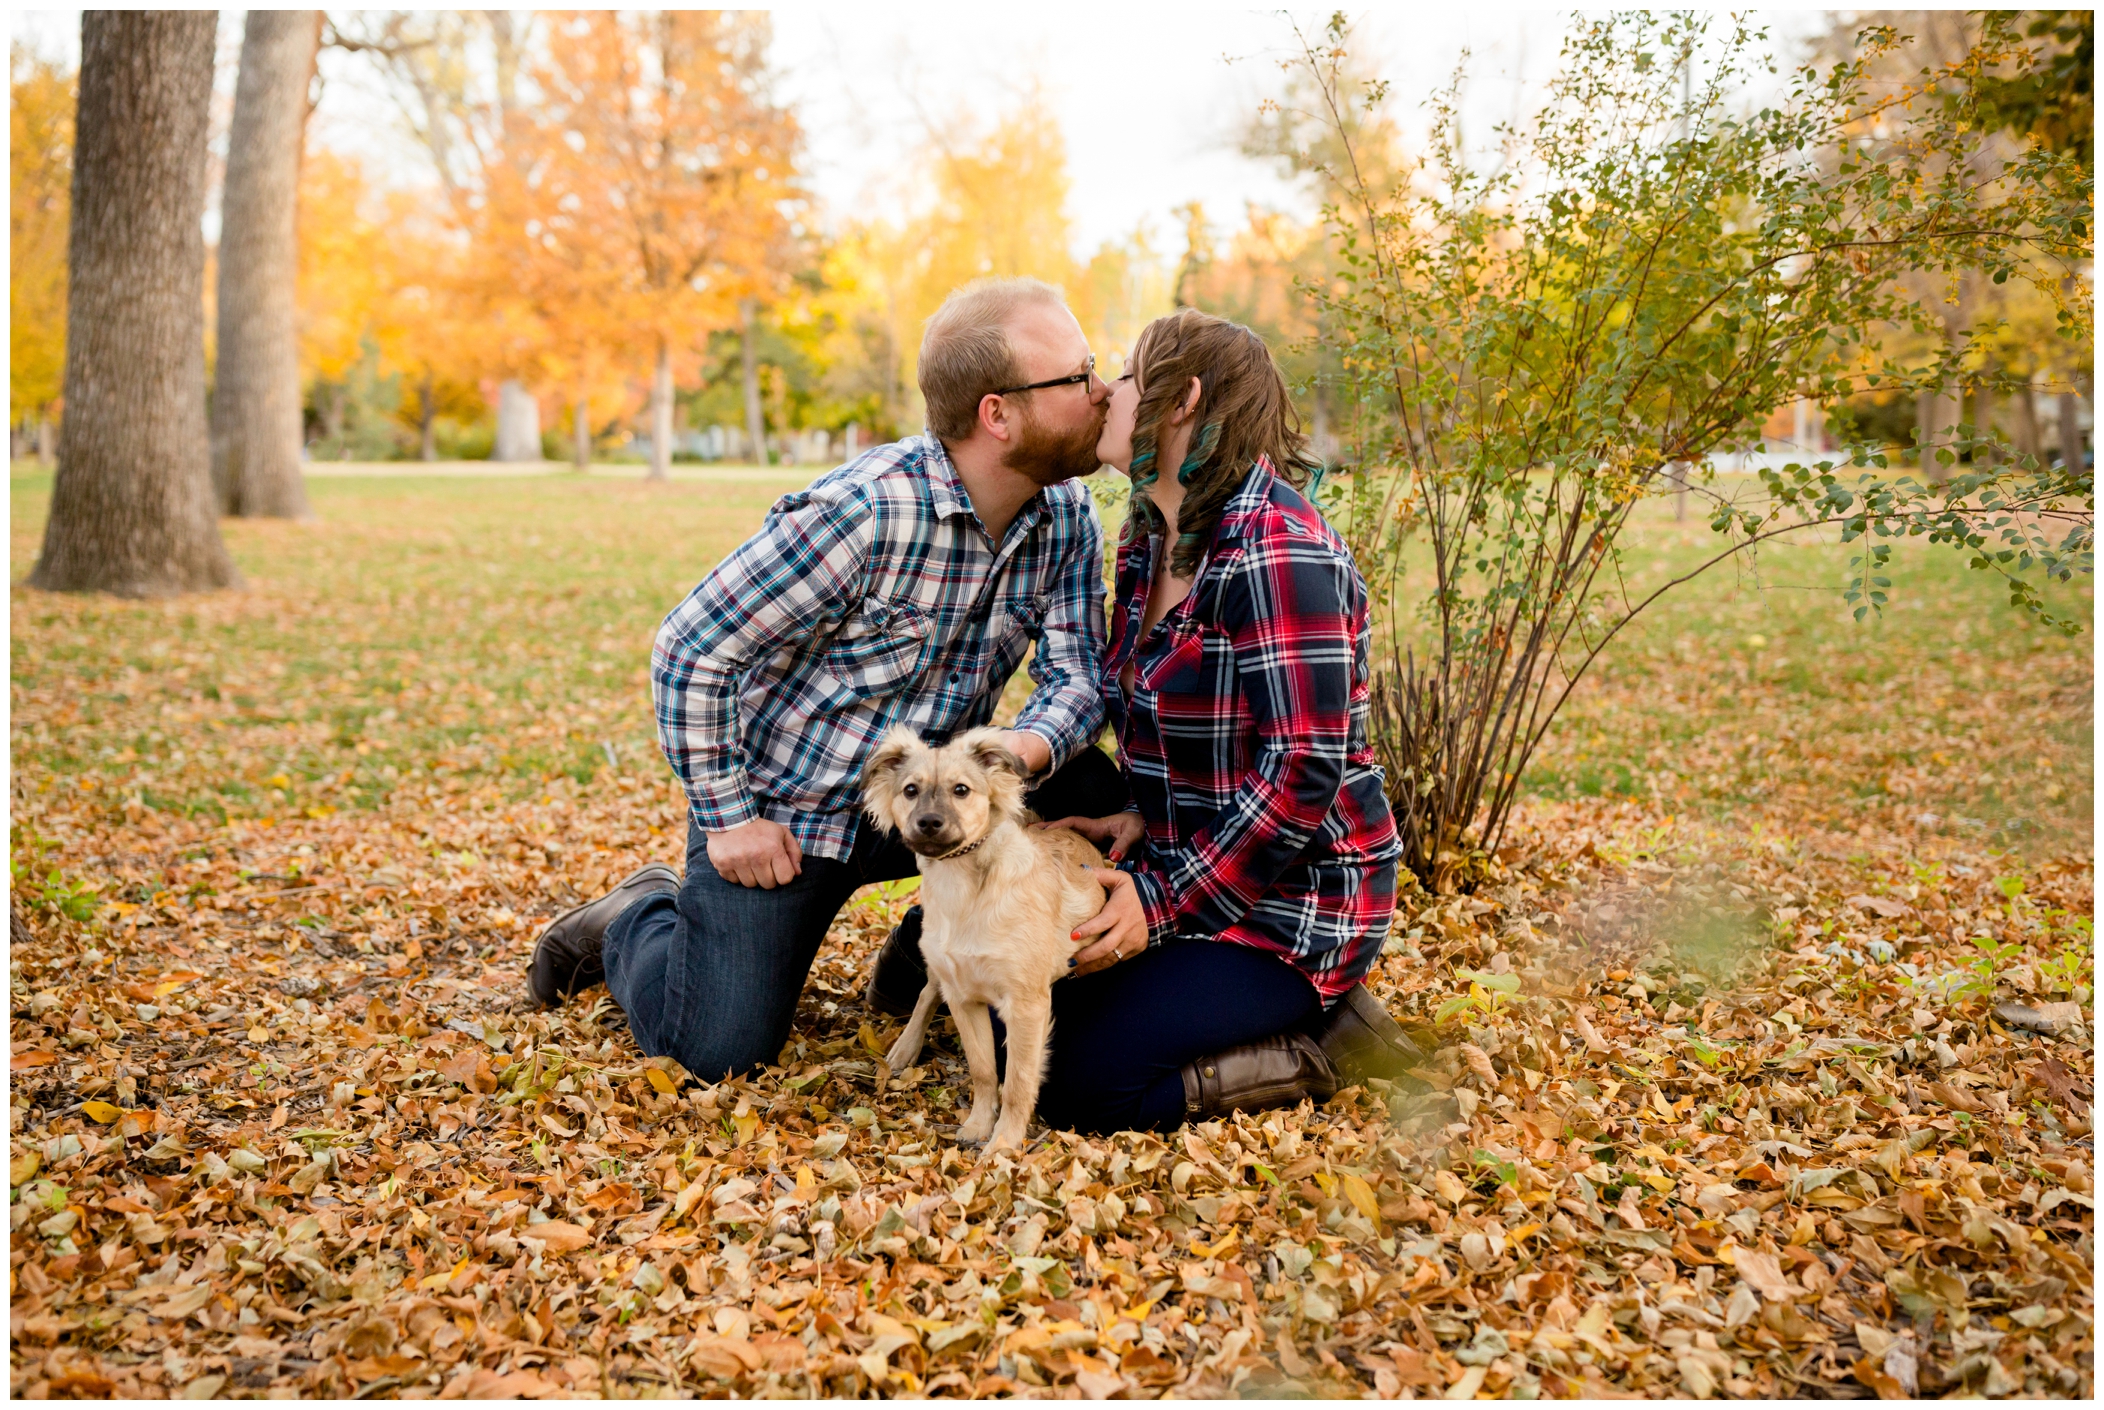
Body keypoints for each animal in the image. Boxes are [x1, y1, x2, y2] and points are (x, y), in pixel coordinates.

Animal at [862, 728, 1110, 1144]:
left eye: (961, 790)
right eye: (910, 790)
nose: (929, 822)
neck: (963, 889)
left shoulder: (1027, 1006)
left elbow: (1018, 1081)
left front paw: (1004, 1143)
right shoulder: (964, 997)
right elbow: (983, 1069)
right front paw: (979, 1125)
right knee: (928, 992)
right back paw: (906, 1046)